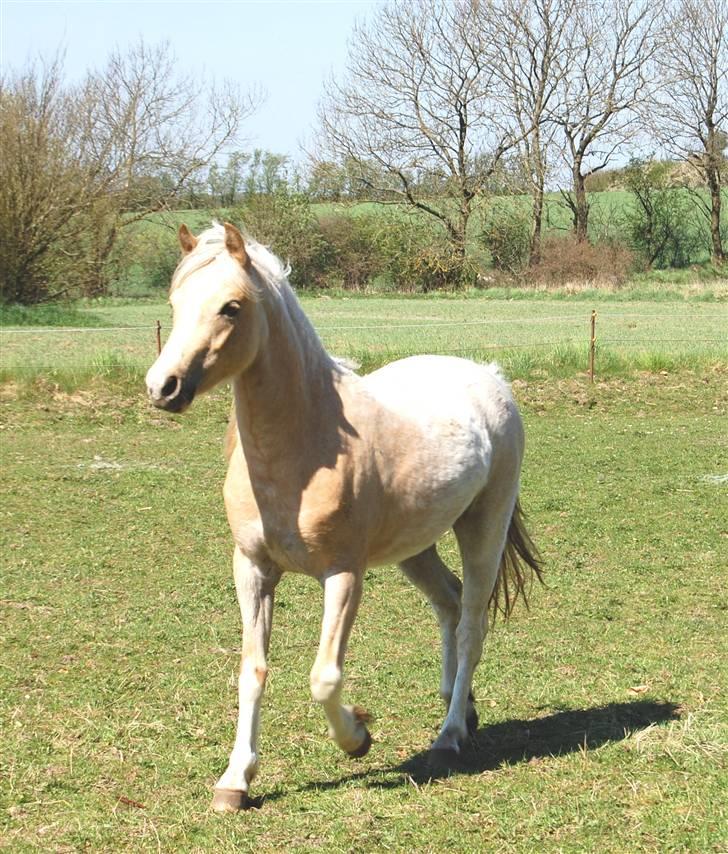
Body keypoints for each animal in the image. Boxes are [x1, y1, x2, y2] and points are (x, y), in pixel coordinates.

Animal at [145, 219, 540, 808]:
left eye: (231, 307)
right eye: (175, 303)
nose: (162, 387)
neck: (302, 449)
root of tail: (489, 376)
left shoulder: (343, 575)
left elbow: (324, 677)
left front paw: (358, 737)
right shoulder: (252, 569)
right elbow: (252, 669)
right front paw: (235, 780)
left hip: (483, 528)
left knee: (472, 621)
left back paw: (448, 737)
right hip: (415, 545)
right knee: (448, 604)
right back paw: (461, 708)